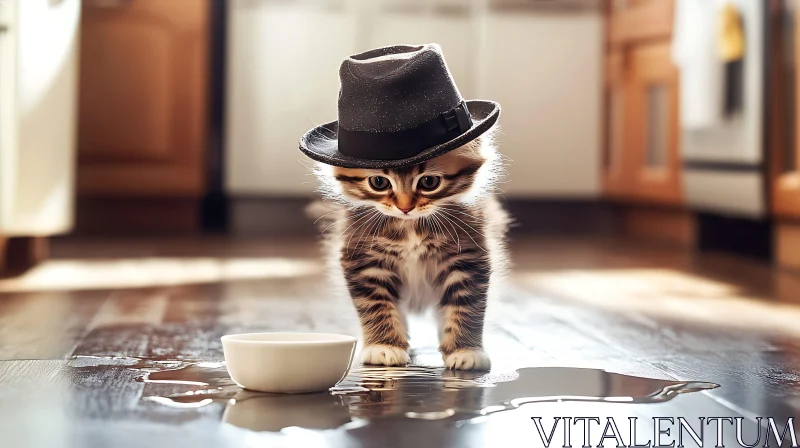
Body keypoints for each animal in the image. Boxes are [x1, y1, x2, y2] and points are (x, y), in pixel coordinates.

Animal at [310, 132, 506, 372]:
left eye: (429, 182)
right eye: (379, 183)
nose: (405, 208)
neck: (410, 226)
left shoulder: (467, 257)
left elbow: (466, 306)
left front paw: (465, 350)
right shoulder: (366, 261)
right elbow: (376, 305)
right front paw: (384, 346)